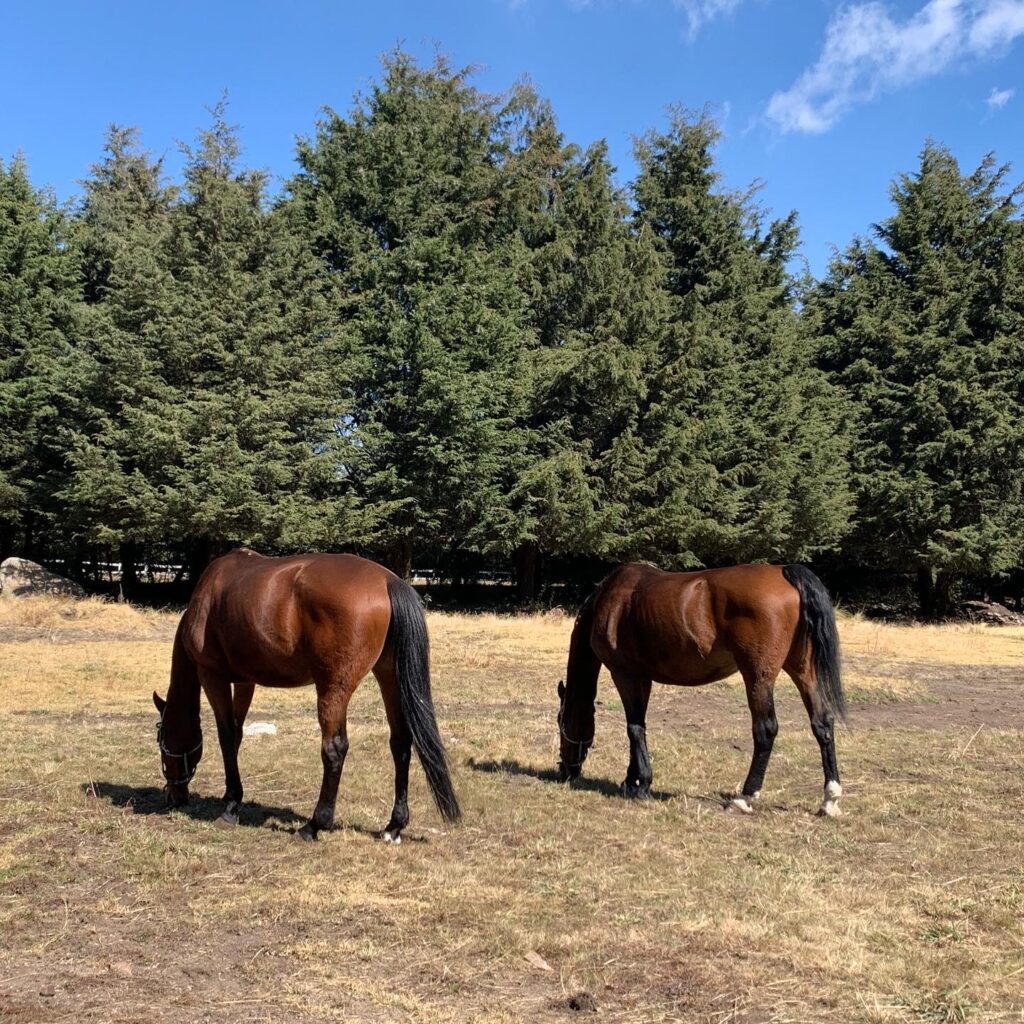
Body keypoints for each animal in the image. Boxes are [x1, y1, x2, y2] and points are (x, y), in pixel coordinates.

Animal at [152, 548, 460, 842]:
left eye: (162, 738)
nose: (174, 796)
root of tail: (388, 581)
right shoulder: (245, 682)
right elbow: (237, 734)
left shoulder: (211, 675)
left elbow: (226, 736)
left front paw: (229, 807)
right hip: (388, 676)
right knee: (400, 742)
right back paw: (393, 826)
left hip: (333, 688)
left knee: (334, 749)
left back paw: (313, 825)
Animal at [556, 562, 846, 816]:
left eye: (561, 721)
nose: (566, 770)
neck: (610, 600)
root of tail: (784, 572)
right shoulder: (643, 677)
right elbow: (639, 726)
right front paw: (632, 780)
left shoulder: (625, 674)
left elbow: (634, 728)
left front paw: (643, 785)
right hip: (802, 669)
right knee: (822, 722)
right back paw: (830, 799)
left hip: (758, 677)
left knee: (766, 730)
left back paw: (744, 798)